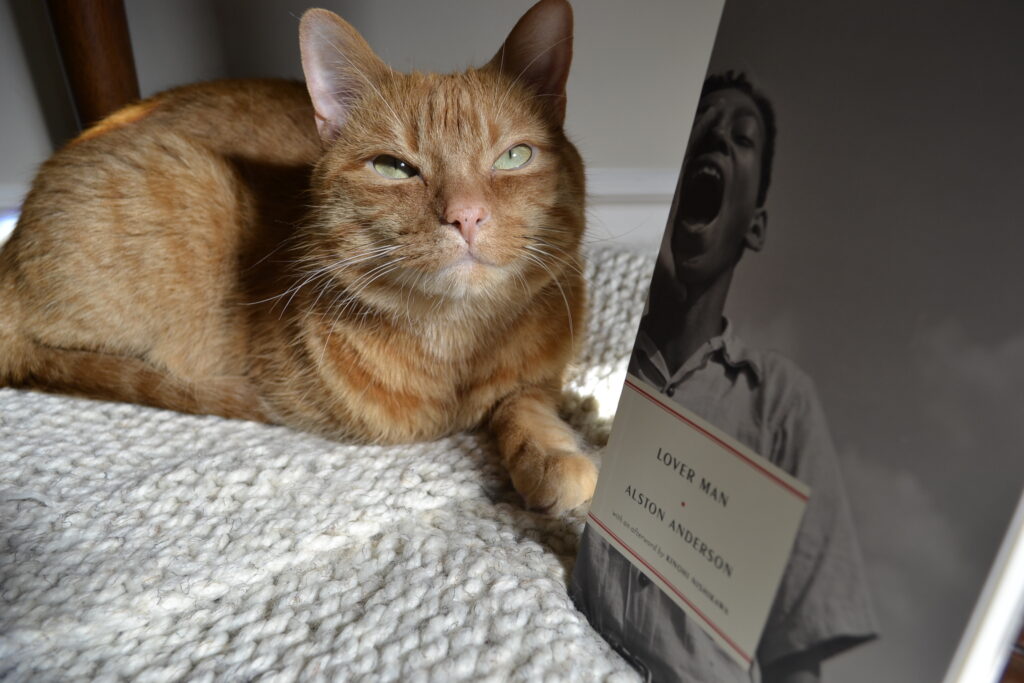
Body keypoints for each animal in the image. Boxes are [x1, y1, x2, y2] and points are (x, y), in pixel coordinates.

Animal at [0, 0, 598, 511]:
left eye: (514, 157)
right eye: (395, 168)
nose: (466, 216)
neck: (455, 348)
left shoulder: (543, 375)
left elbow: (525, 401)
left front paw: (552, 454)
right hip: (193, 185)